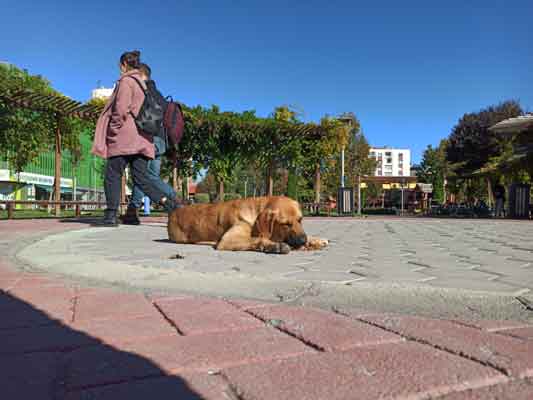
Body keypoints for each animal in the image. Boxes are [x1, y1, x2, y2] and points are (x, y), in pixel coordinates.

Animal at [166, 196, 326, 253]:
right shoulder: (227, 240)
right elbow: (258, 239)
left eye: (300, 220)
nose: (303, 241)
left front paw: (316, 240)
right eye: (285, 224)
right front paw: (274, 245)